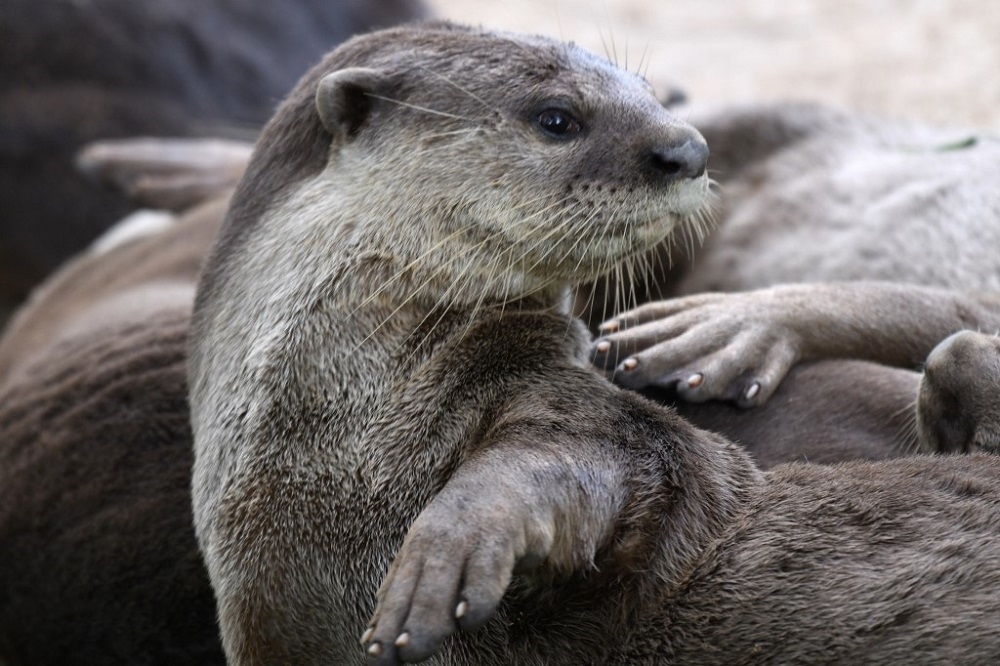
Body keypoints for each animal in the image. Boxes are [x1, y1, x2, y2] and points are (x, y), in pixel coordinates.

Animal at [185, 22, 1000, 666]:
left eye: (649, 90)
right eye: (556, 118)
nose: (688, 147)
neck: (341, 440)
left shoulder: (589, 417)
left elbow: (596, 457)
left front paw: (445, 550)